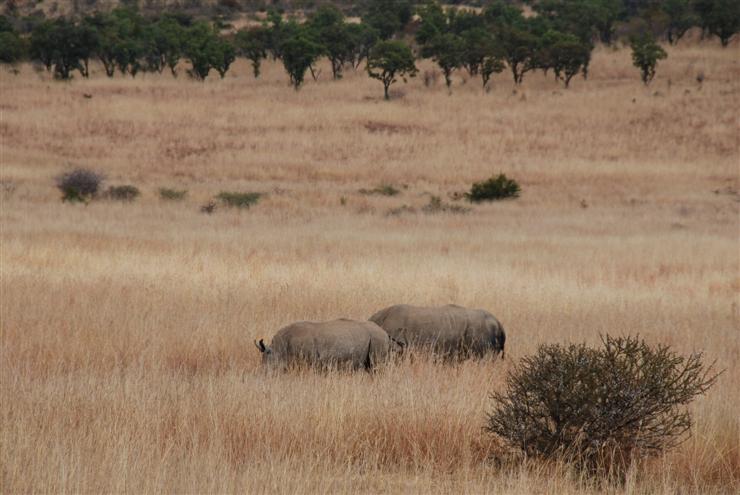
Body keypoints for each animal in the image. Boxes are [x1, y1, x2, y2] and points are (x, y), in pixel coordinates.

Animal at [254, 319, 405, 371]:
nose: (263, 374)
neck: (278, 348)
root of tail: (384, 332)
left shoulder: (310, 360)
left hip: (377, 338)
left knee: (376, 365)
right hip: (374, 337)